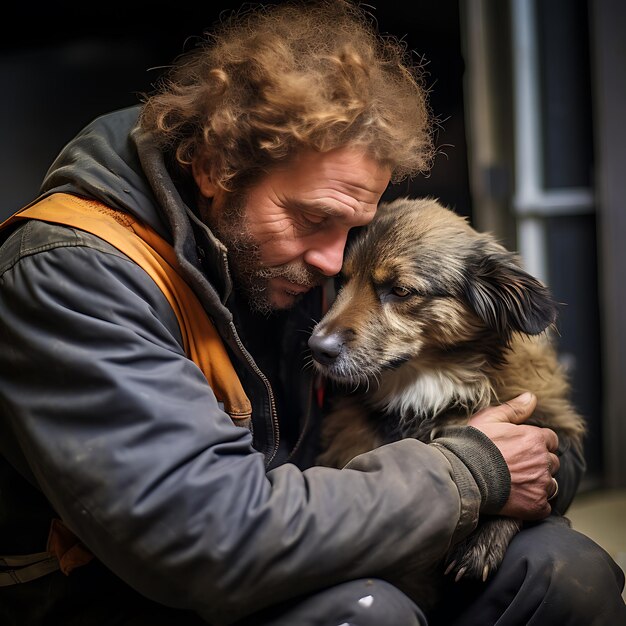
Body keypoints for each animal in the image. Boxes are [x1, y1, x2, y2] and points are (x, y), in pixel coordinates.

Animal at [308, 195, 584, 588]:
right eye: (341, 281)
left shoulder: (557, 432)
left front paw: (482, 541)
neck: (429, 387)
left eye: (400, 290)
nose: (317, 349)